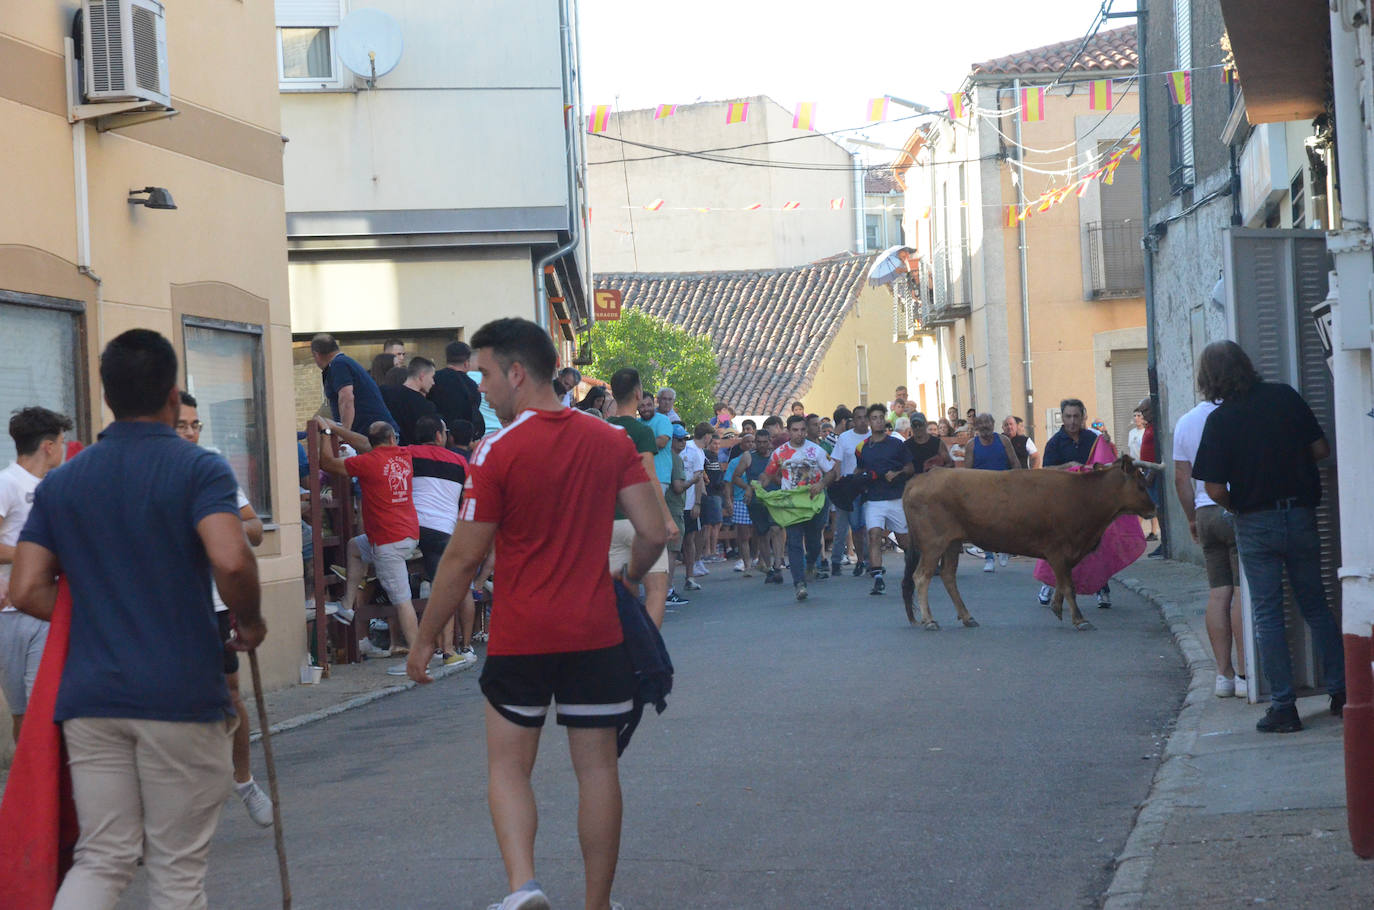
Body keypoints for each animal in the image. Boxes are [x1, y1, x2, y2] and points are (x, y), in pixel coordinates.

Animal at [901, 456, 1159, 635]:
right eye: (1140, 485)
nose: (1154, 508)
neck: (1085, 496)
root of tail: (922, 477)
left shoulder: (1065, 554)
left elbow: (1062, 582)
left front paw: (1056, 607)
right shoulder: (1058, 549)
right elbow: (1069, 585)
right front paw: (1080, 619)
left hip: (952, 543)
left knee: (947, 576)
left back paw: (967, 617)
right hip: (933, 543)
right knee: (921, 577)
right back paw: (930, 620)